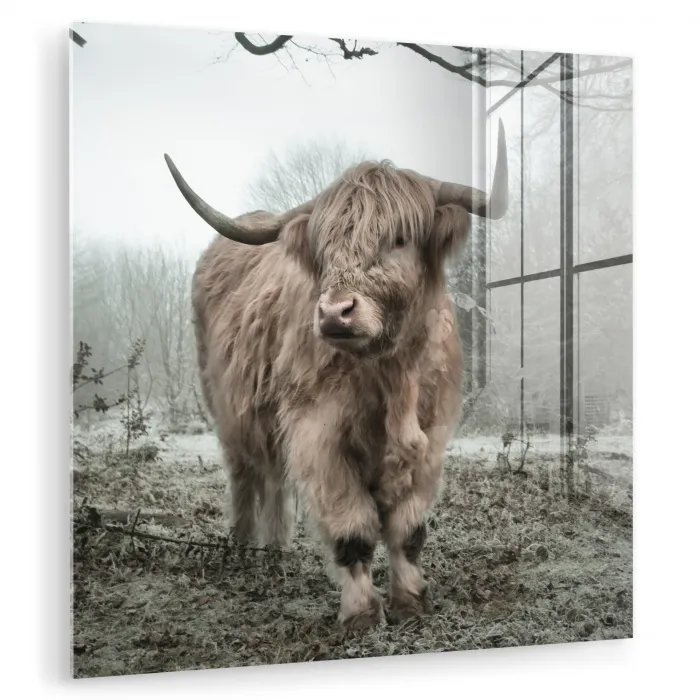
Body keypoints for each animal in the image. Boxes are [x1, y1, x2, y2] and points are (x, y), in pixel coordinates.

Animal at [164, 121, 508, 629]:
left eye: (400, 237)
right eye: (324, 246)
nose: (334, 313)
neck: (391, 376)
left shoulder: (432, 438)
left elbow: (408, 530)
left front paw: (411, 602)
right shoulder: (319, 436)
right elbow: (353, 529)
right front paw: (361, 614)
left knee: (274, 479)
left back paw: (275, 550)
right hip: (227, 411)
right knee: (245, 475)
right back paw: (245, 548)